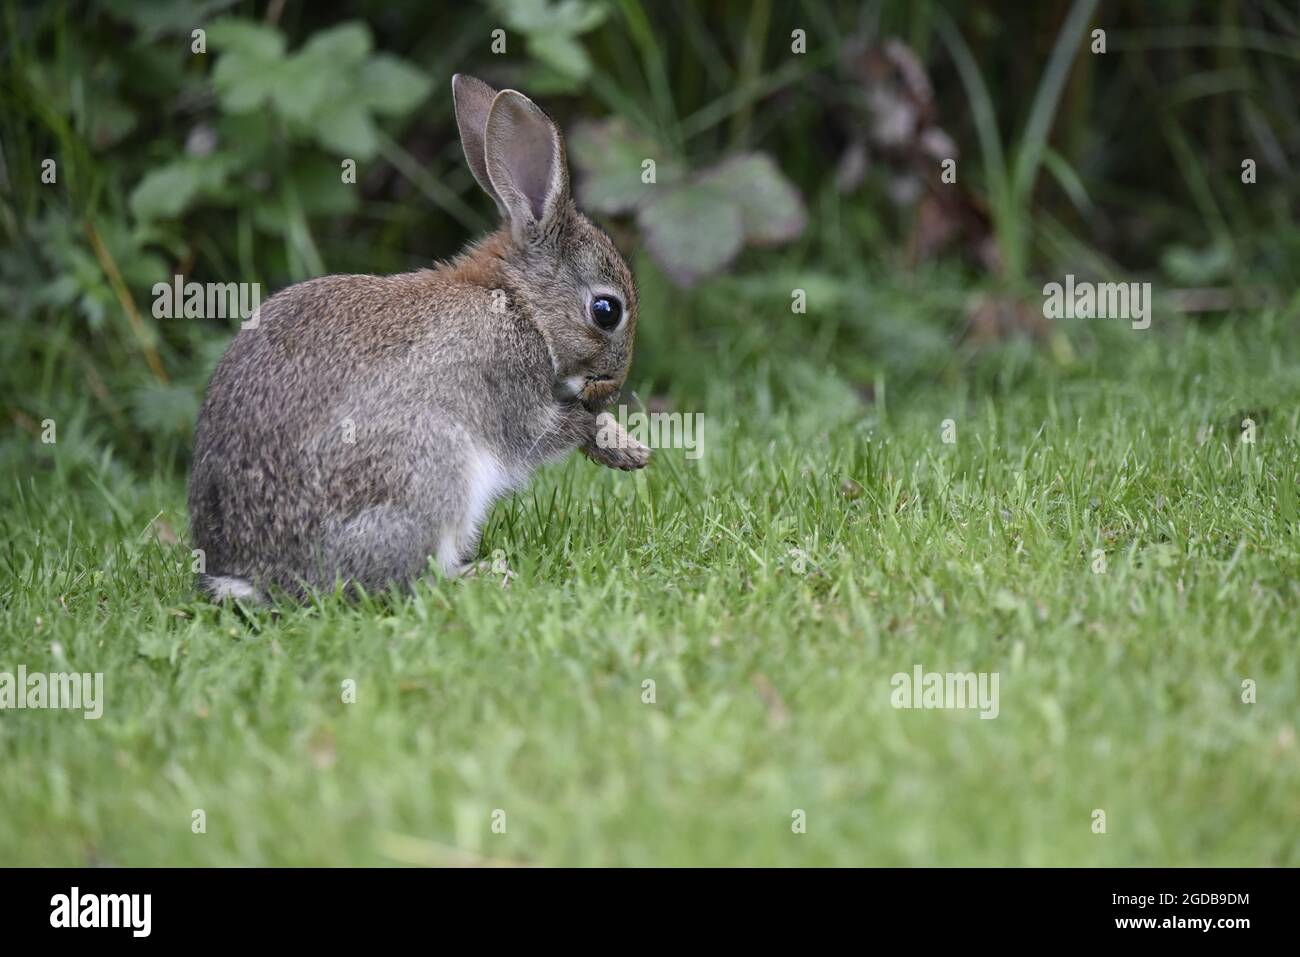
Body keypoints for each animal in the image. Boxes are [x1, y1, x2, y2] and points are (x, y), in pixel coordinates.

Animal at [188, 74, 650, 600]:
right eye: (606, 311)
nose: (612, 387)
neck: (518, 303)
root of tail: (257, 578)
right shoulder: (513, 391)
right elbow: (551, 429)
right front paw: (620, 443)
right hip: (434, 468)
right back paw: (484, 574)